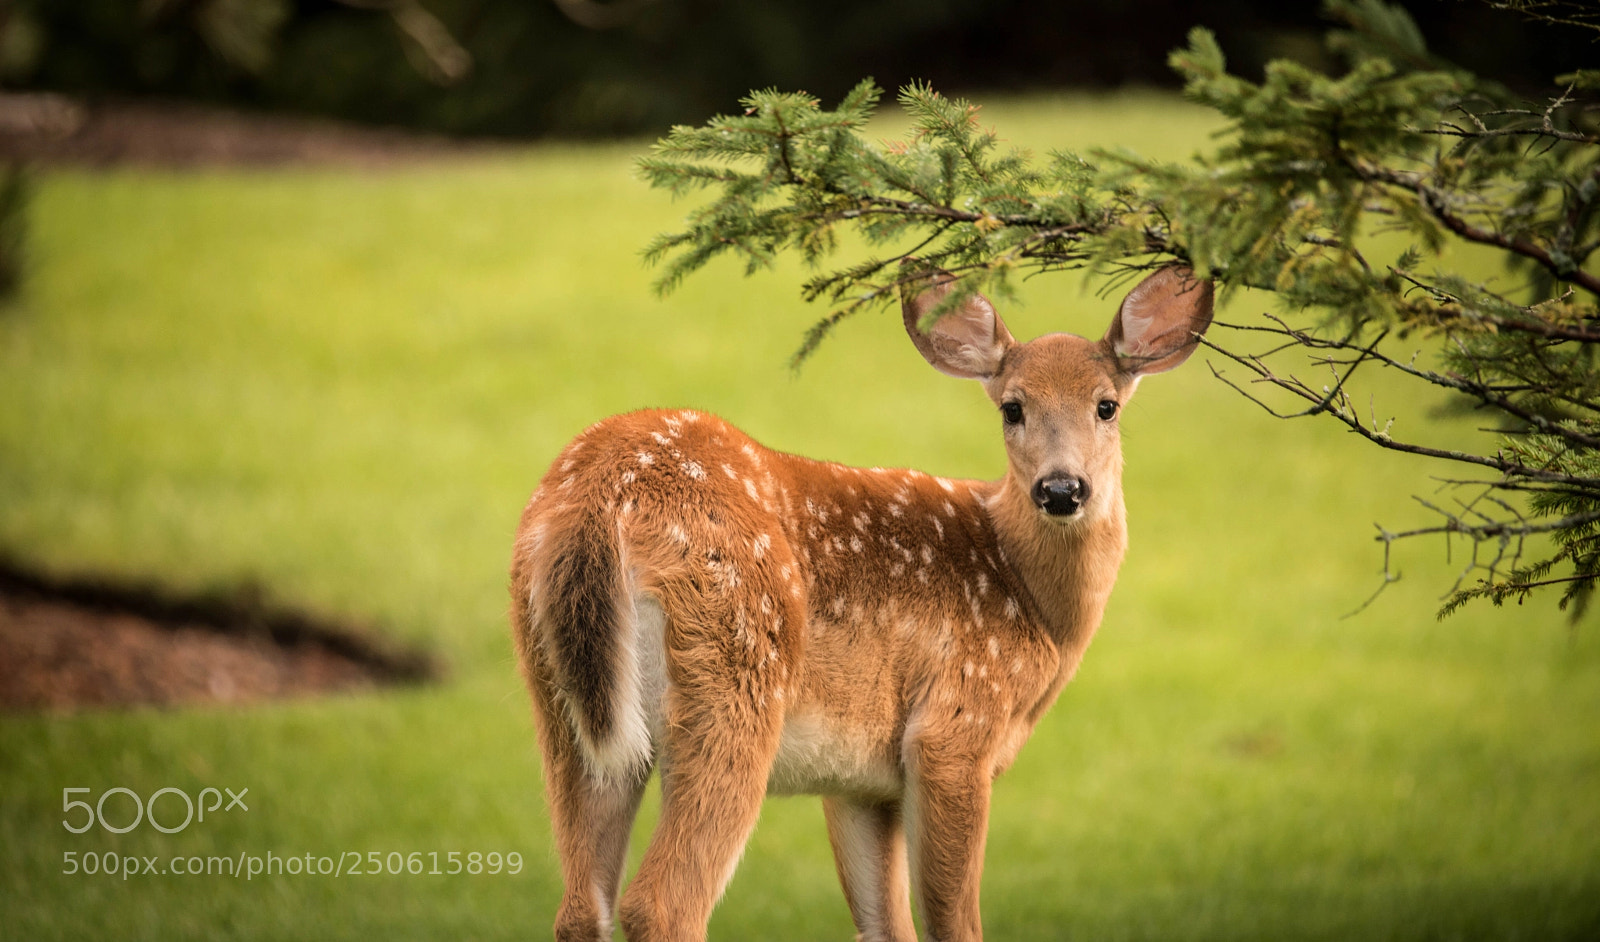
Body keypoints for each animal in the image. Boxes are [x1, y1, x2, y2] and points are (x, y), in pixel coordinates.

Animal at [509, 264, 1213, 942]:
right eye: (1012, 408)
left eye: (1106, 406)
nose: (1062, 488)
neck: (1034, 604)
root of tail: (602, 496)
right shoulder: (955, 726)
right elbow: (953, 922)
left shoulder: (859, 779)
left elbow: (884, 926)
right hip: (734, 675)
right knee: (663, 905)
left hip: (566, 709)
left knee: (580, 908)